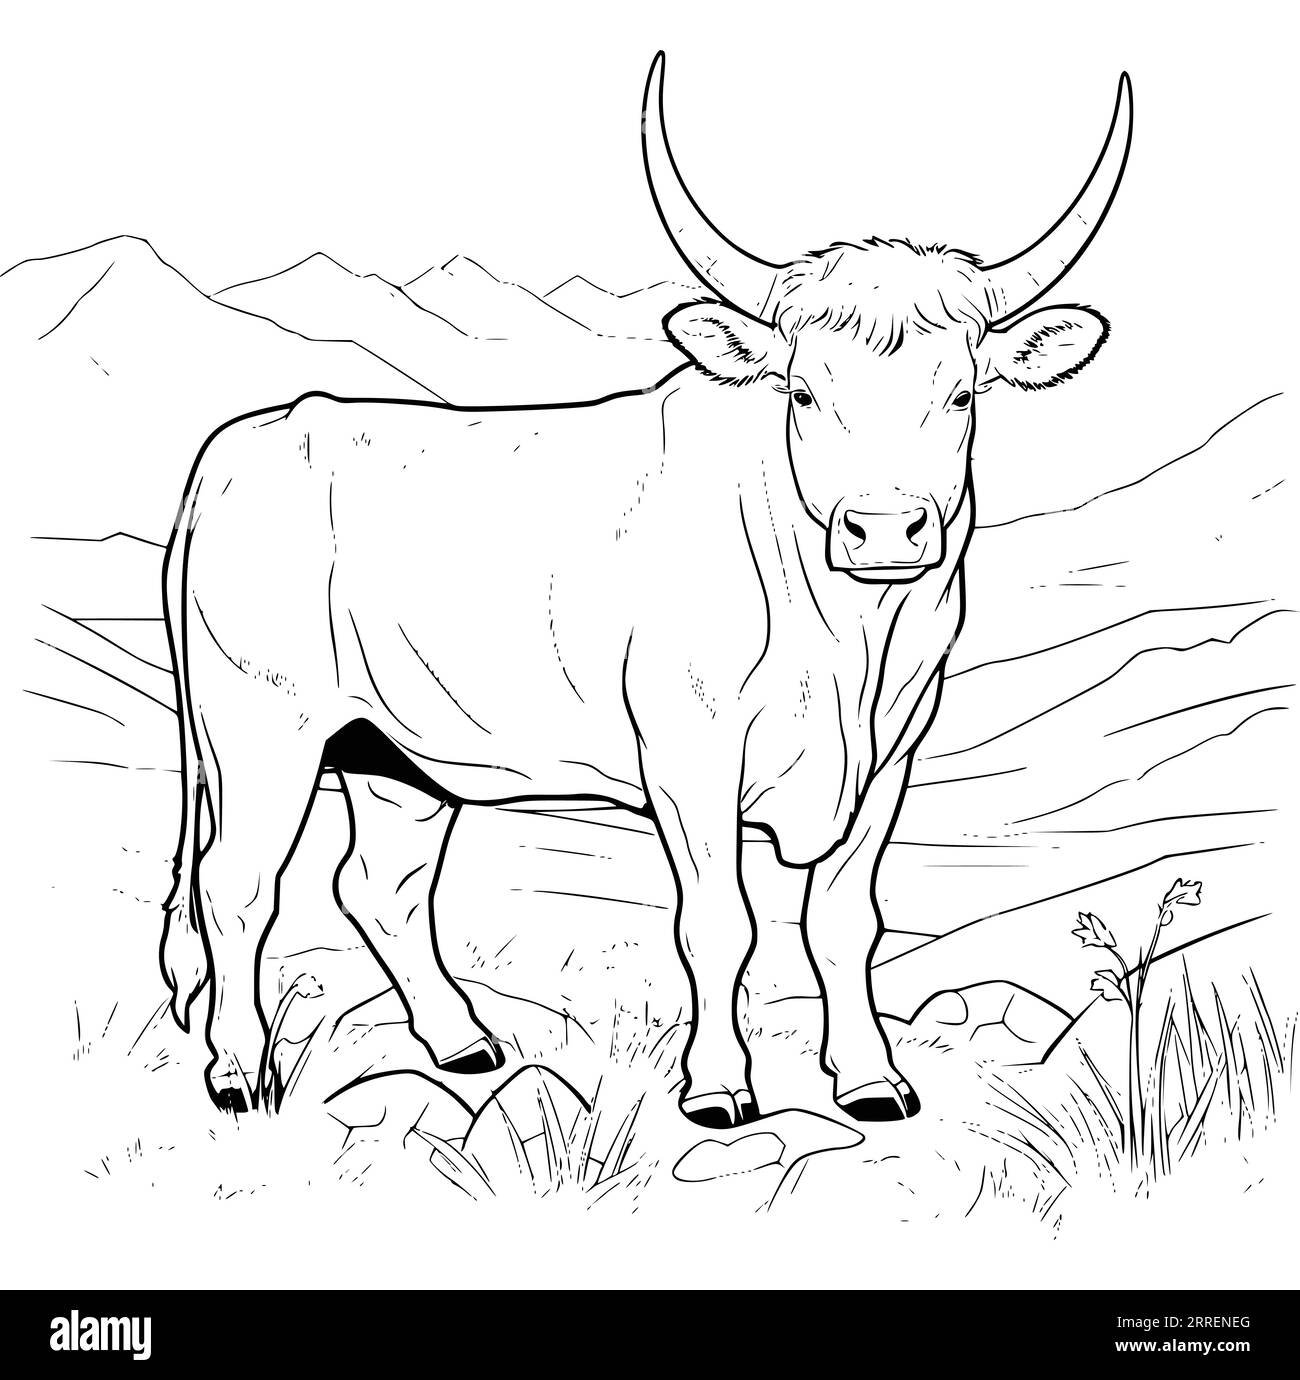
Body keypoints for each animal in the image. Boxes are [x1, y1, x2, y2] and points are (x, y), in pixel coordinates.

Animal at [159, 54, 1131, 1127]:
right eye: (802, 391)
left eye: (961, 394)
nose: (884, 528)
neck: (848, 643)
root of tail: (259, 434)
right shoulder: (689, 751)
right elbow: (718, 922)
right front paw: (717, 1087)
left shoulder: (890, 757)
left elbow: (844, 920)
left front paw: (873, 1080)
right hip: (259, 726)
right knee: (238, 886)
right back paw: (239, 1072)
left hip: (391, 753)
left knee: (381, 885)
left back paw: (463, 1043)